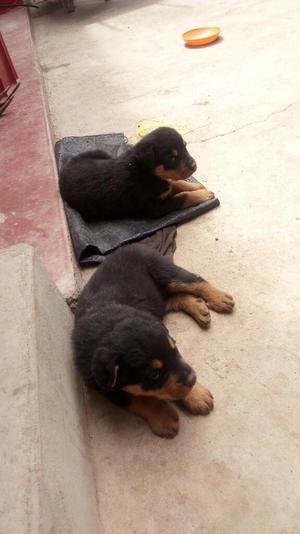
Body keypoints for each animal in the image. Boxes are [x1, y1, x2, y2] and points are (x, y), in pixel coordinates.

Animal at [59, 127, 213, 222]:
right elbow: (182, 197)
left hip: (100, 153)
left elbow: (176, 183)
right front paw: (204, 194)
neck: (145, 171)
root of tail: (66, 166)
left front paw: (196, 187)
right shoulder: (154, 208)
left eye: (185, 146)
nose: (194, 166)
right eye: (171, 158)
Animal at [73, 245, 234, 438]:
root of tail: (131, 246)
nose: (193, 379)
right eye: (154, 375)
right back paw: (198, 308)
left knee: (194, 281)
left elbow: (181, 368)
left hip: (165, 271)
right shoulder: (102, 385)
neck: (109, 326)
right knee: (175, 298)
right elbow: (137, 399)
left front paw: (196, 394)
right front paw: (164, 417)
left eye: (175, 348)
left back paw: (219, 298)